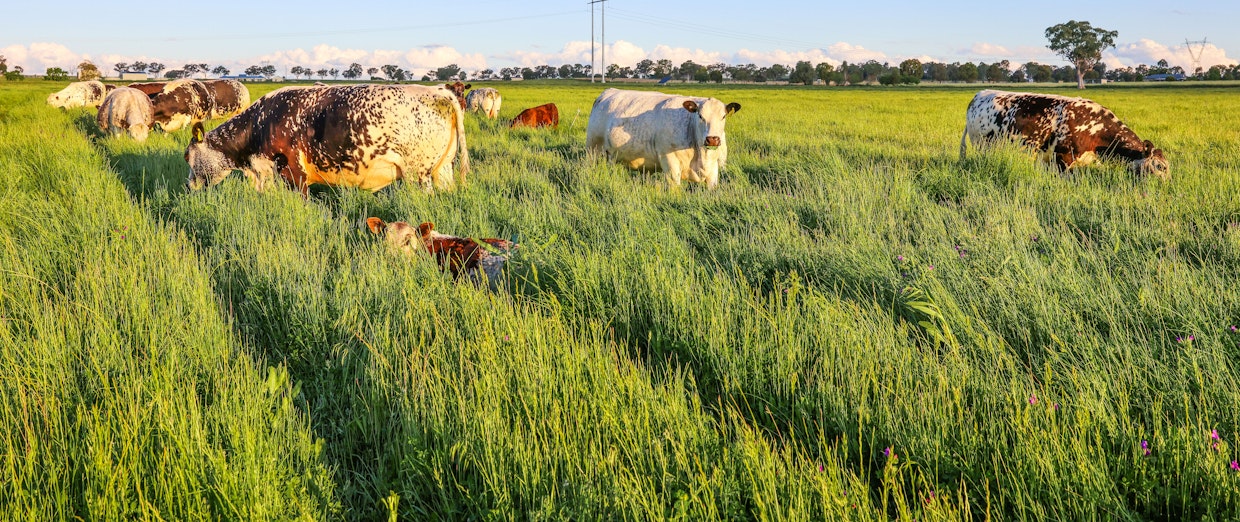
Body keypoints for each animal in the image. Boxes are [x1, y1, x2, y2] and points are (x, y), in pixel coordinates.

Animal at [183, 83, 468, 197]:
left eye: (187, 156)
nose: (188, 185)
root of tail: (439, 92)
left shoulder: (293, 171)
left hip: (418, 175)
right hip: (443, 171)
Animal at [585, 86, 739, 187]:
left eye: (723, 116)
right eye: (700, 116)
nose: (712, 139)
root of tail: (608, 92)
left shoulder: (715, 169)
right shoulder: (670, 163)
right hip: (593, 150)